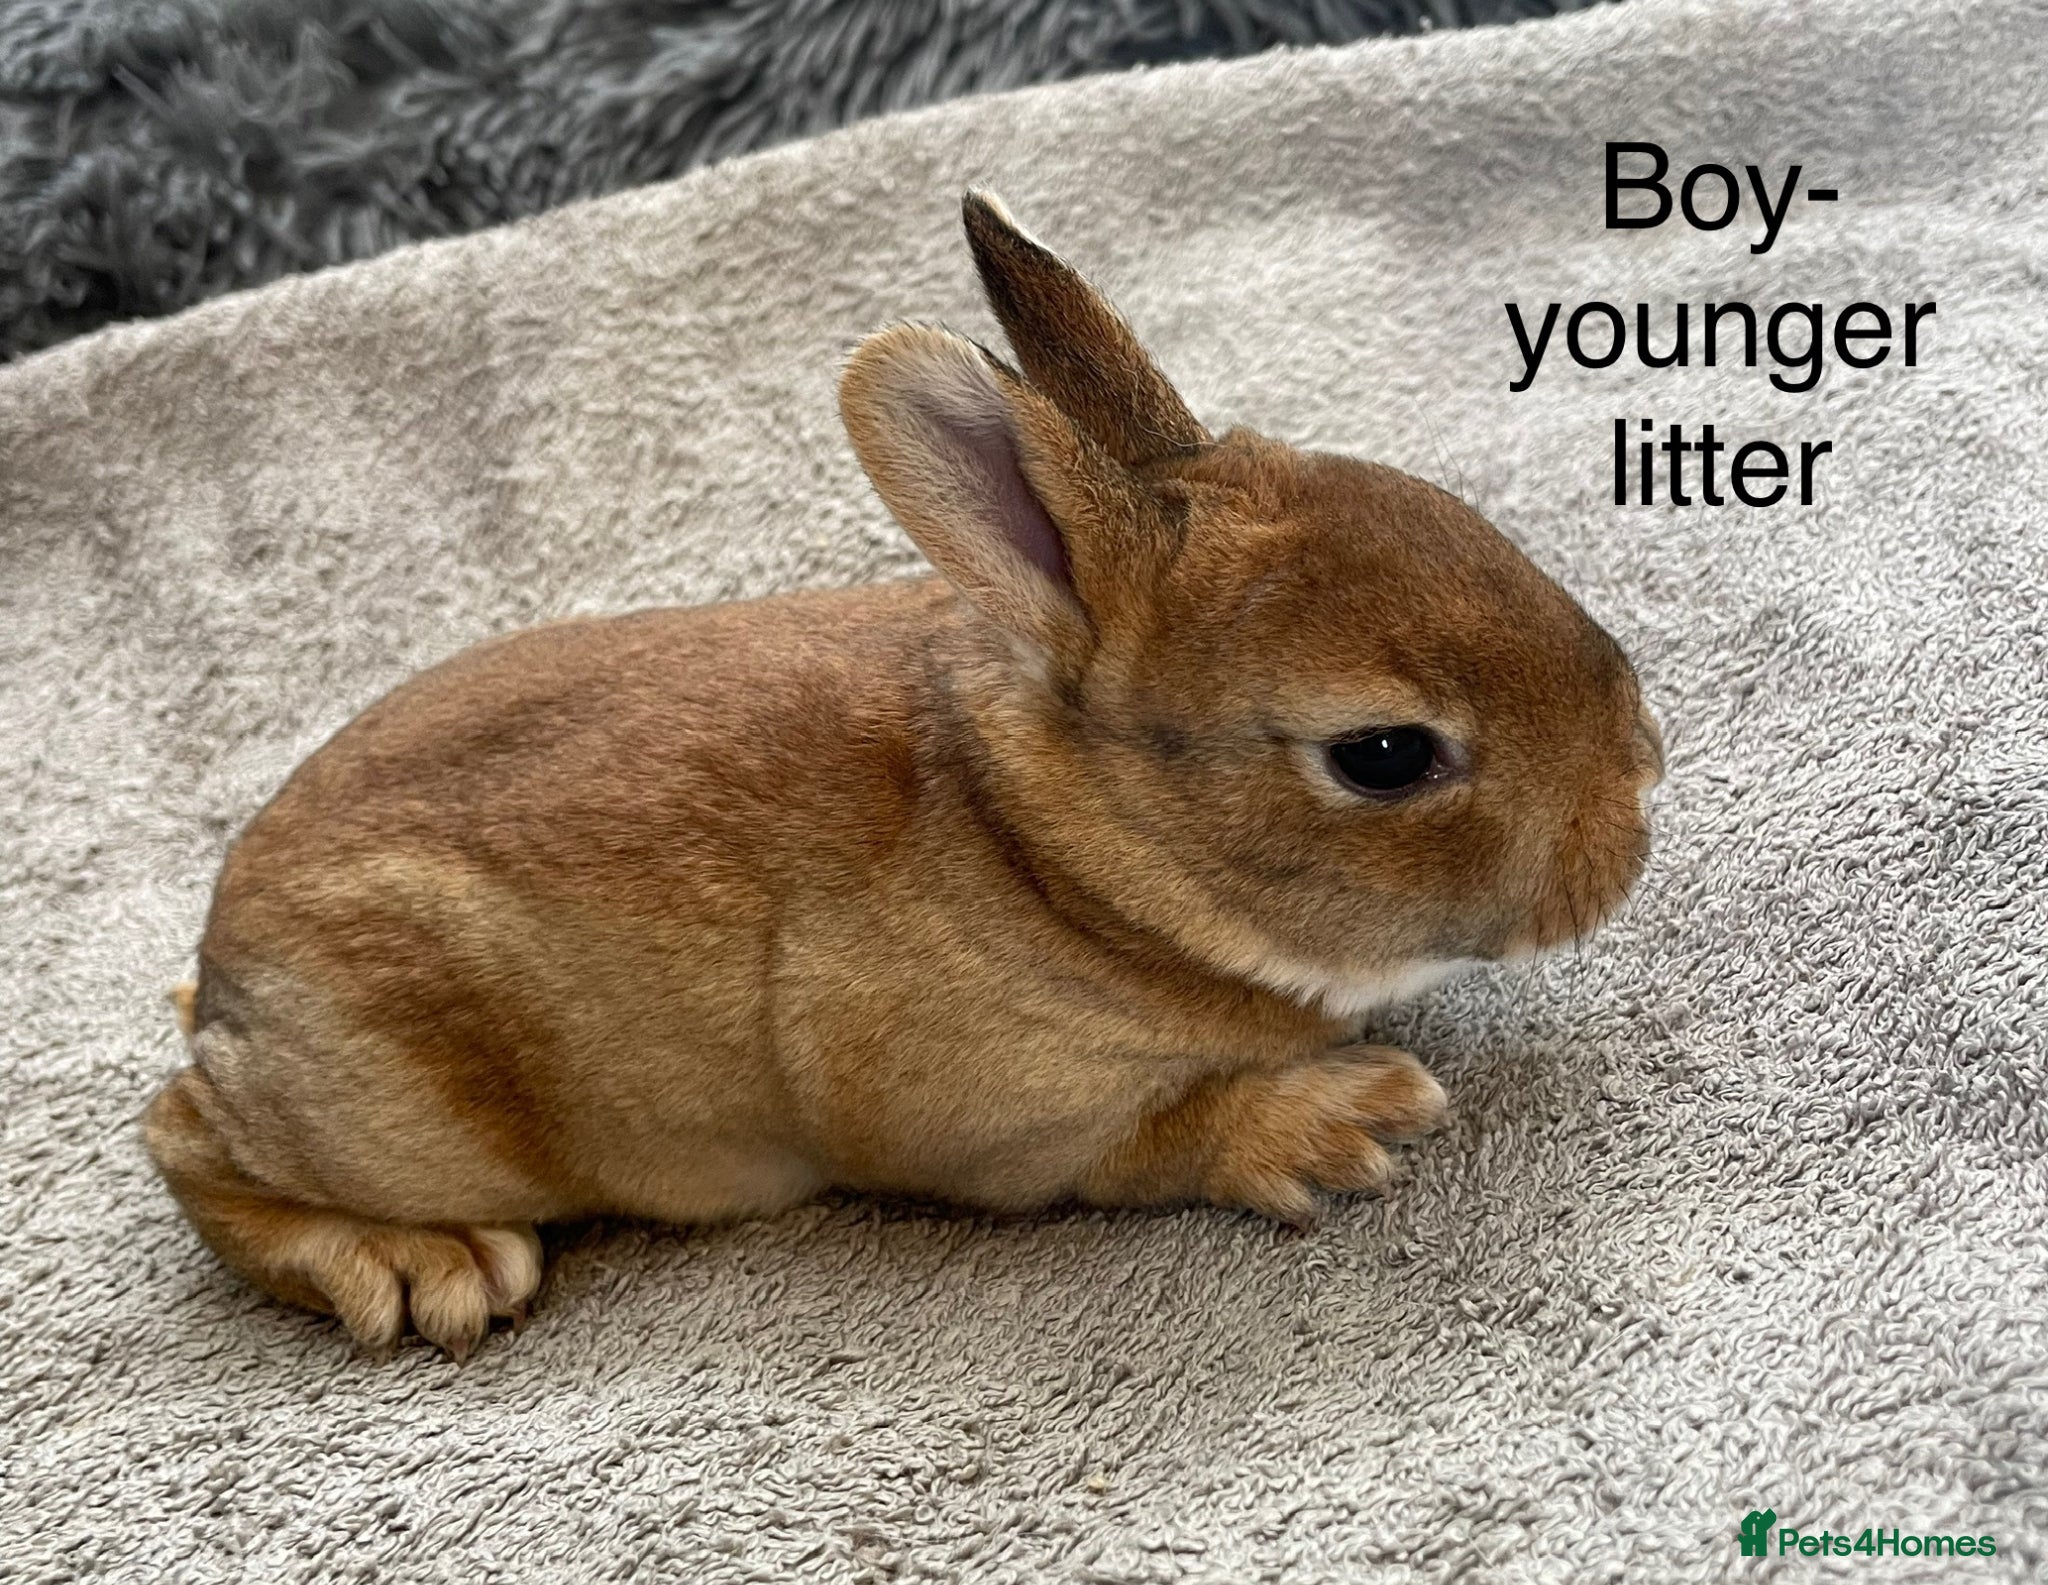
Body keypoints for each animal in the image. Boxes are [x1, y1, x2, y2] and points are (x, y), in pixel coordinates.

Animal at [145, 191, 1663, 1360]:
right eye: (1384, 756)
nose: (1634, 797)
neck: (1062, 859)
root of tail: (227, 970)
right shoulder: (1012, 1123)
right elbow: (1153, 1141)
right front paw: (1346, 1120)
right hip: (401, 1106)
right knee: (184, 1138)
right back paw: (421, 1267)